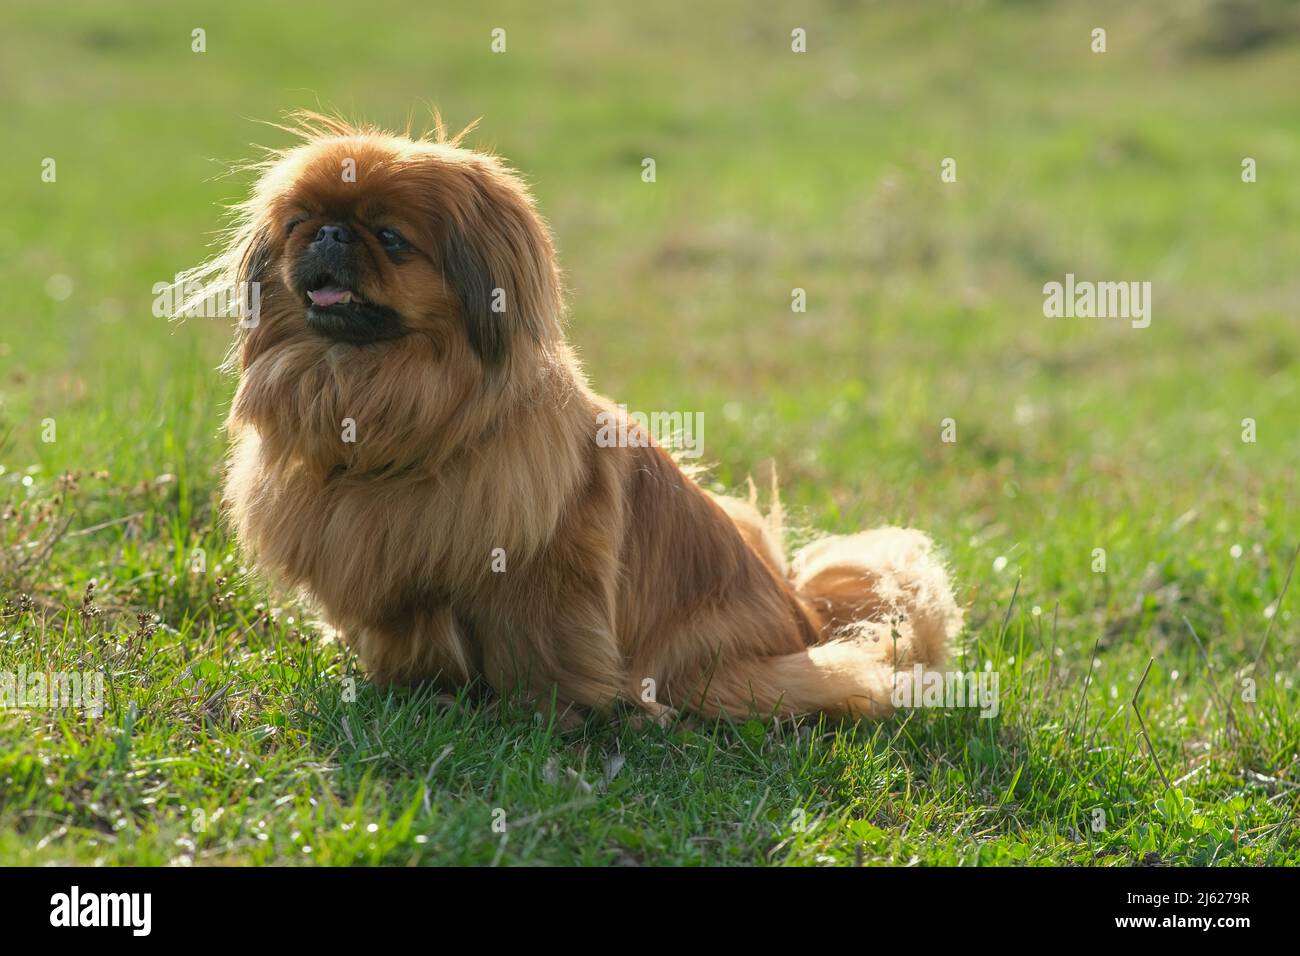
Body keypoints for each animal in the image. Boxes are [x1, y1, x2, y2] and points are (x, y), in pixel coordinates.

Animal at [197, 111, 961, 723]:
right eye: (299, 223)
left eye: (388, 237)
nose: (329, 233)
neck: (377, 406)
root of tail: (808, 621)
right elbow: (402, 640)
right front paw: (411, 690)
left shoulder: (542, 575)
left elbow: (542, 651)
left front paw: (546, 716)